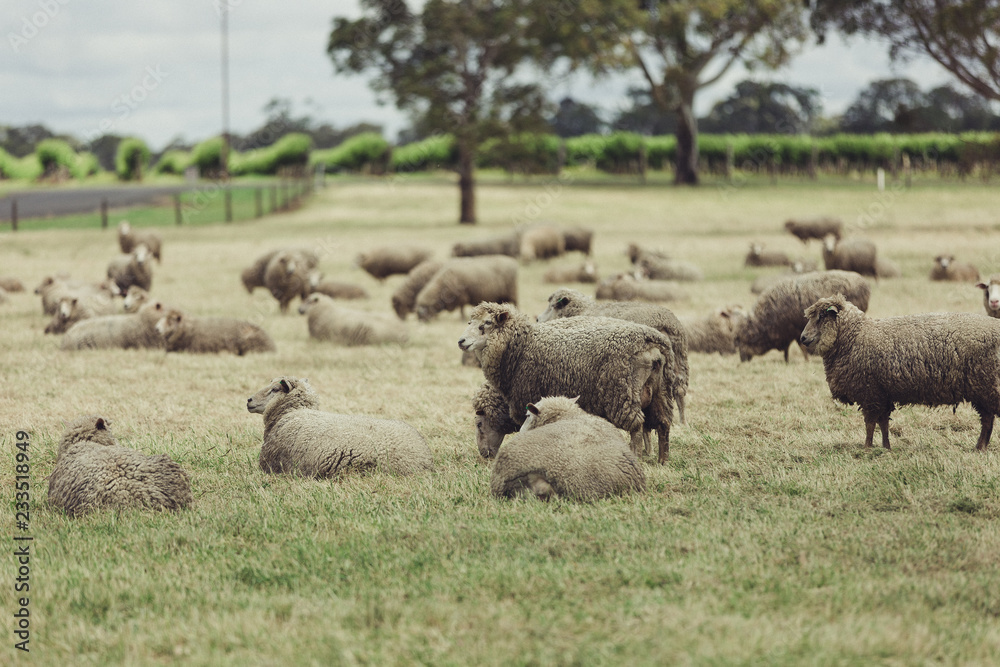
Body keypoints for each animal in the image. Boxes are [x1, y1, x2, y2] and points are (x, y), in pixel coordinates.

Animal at [458, 302, 675, 463]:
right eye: (469, 321)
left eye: (486, 323)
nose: (461, 341)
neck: (518, 348)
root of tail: (650, 341)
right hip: (661, 392)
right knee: (664, 424)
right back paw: (663, 461)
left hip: (622, 394)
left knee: (637, 427)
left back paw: (637, 457)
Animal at [537, 287, 690, 425]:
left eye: (553, 305)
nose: (538, 319)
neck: (582, 310)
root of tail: (666, 322)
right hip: (679, 360)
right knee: (679, 389)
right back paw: (683, 424)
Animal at [734, 270, 871, 363]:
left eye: (744, 340)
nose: (742, 359)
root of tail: (863, 282)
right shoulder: (787, 333)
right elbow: (787, 350)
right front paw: (787, 361)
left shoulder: (793, 330)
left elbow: (800, 347)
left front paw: (805, 360)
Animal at [800, 294, 1000, 451]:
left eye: (821, 316)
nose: (802, 338)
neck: (854, 336)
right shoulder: (882, 394)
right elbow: (883, 423)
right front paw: (885, 448)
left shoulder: (870, 393)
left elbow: (870, 424)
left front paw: (867, 448)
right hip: (982, 389)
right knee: (987, 419)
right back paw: (979, 447)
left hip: (988, 385)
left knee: (987, 420)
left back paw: (981, 447)